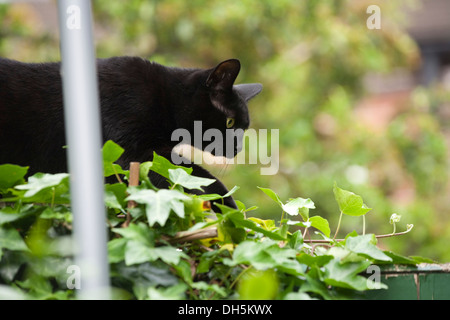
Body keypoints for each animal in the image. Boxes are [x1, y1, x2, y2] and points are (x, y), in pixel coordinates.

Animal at [0, 56, 260, 209]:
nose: (238, 147)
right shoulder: (130, 154)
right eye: (230, 122)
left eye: (243, 128)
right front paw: (228, 208)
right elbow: (199, 177)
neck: (165, 99)